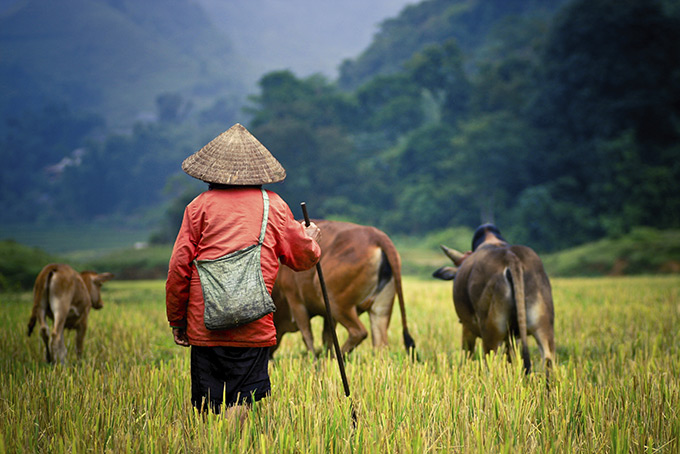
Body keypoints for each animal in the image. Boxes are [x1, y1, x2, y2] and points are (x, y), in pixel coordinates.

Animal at [270, 221, 414, 358]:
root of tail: (376, 235)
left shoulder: (295, 300)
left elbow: (307, 335)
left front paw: (315, 360)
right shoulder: (327, 315)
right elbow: (327, 337)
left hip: (337, 302)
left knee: (359, 332)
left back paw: (336, 358)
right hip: (380, 310)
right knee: (380, 346)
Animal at [432, 223, 556, 376]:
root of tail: (511, 257)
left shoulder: (467, 328)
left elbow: (467, 356)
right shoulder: (512, 338)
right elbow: (509, 359)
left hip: (491, 331)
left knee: (490, 364)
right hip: (543, 326)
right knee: (548, 359)